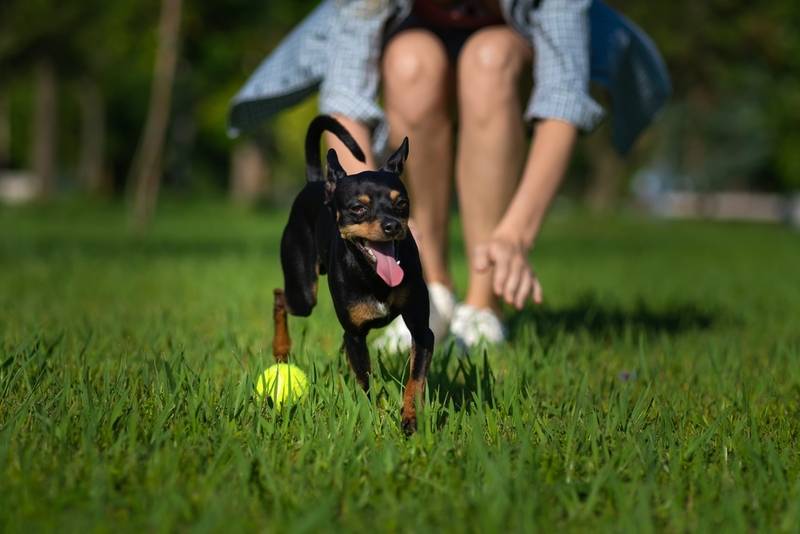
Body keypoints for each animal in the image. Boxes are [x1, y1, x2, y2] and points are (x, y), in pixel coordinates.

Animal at [274, 116, 438, 436]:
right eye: (358, 208)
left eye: (402, 204)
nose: (391, 225)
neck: (374, 276)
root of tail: (316, 182)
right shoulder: (356, 336)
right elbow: (366, 383)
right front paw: (375, 418)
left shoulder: (422, 331)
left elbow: (415, 380)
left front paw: (410, 419)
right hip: (303, 293)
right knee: (280, 297)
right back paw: (280, 349)